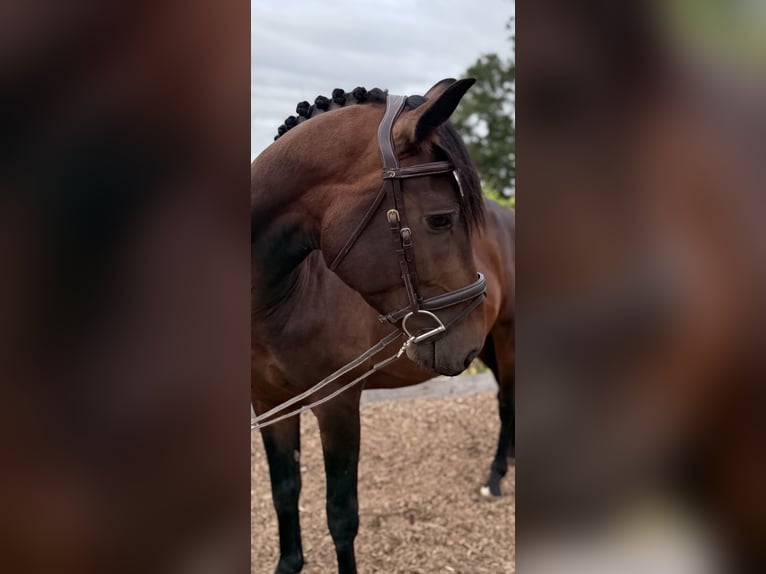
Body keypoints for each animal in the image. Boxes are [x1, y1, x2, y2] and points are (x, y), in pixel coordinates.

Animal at [251, 78, 514, 574]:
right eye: (441, 219)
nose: (465, 339)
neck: (287, 298)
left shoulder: (337, 403)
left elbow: (341, 515)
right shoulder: (270, 404)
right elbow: (284, 492)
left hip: (505, 337)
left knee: (508, 402)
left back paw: (495, 478)